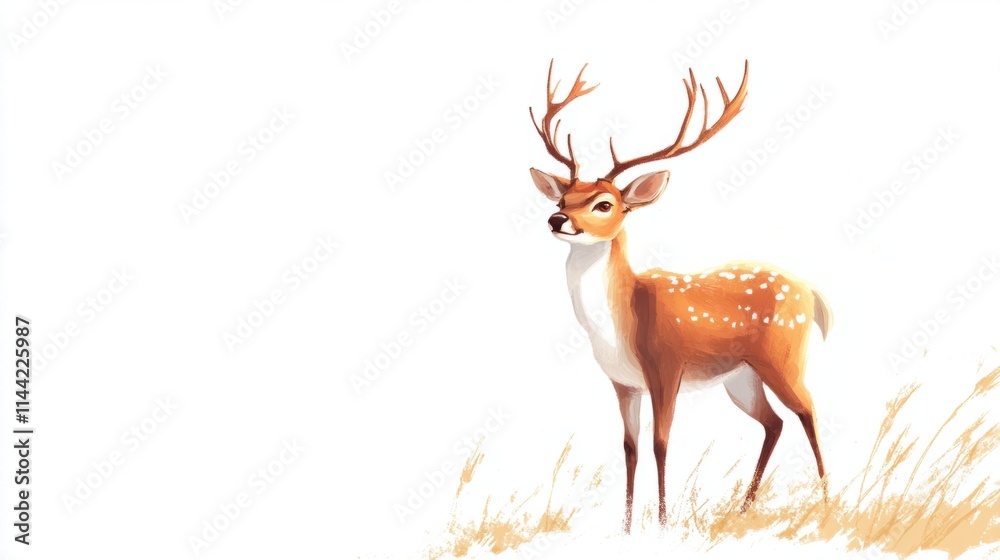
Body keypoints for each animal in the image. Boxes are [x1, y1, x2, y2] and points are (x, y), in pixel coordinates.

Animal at [528, 60, 832, 532]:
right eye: (563, 198)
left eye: (603, 204)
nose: (556, 220)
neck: (620, 324)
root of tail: (810, 291)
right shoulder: (622, 382)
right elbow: (630, 448)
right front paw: (626, 527)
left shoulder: (666, 366)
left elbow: (660, 443)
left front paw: (663, 523)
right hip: (741, 377)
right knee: (774, 422)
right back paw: (744, 508)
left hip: (783, 354)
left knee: (809, 411)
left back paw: (827, 501)